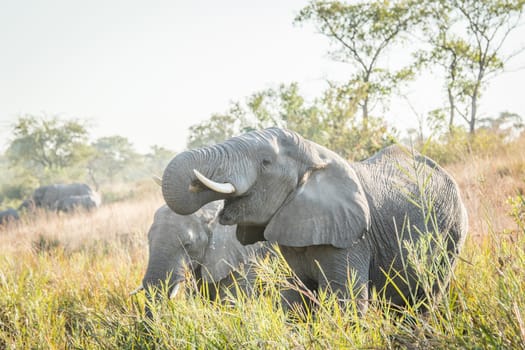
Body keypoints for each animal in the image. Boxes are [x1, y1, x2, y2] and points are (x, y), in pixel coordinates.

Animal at [160, 127, 466, 314]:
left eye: (265, 162)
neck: (314, 152)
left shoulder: (351, 237)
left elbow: (346, 302)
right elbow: (295, 300)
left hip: (450, 234)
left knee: (425, 296)